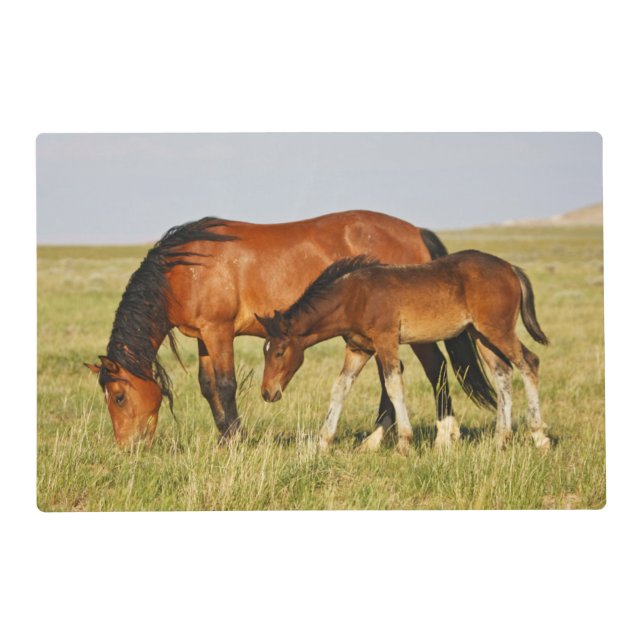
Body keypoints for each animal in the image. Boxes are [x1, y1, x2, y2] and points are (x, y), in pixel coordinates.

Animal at [85, 210, 497, 446]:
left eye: (118, 397)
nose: (128, 447)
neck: (184, 269)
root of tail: (414, 231)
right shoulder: (204, 336)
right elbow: (207, 387)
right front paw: (223, 440)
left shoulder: (219, 332)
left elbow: (225, 385)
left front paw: (236, 442)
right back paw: (376, 439)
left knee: (434, 368)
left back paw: (444, 435)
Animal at [256, 251, 551, 454]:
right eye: (265, 351)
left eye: (279, 352)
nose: (267, 393)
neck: (355, 296)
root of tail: (510, 268)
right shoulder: (358, 348)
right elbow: (340, 387)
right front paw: (323, 442)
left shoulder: (386, 340)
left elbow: (394, 385)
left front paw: (404, 443)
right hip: (481, 335)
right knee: (503, 374)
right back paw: (500, 438)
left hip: (498, 330)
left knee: (529, 362)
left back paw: (539, 436)